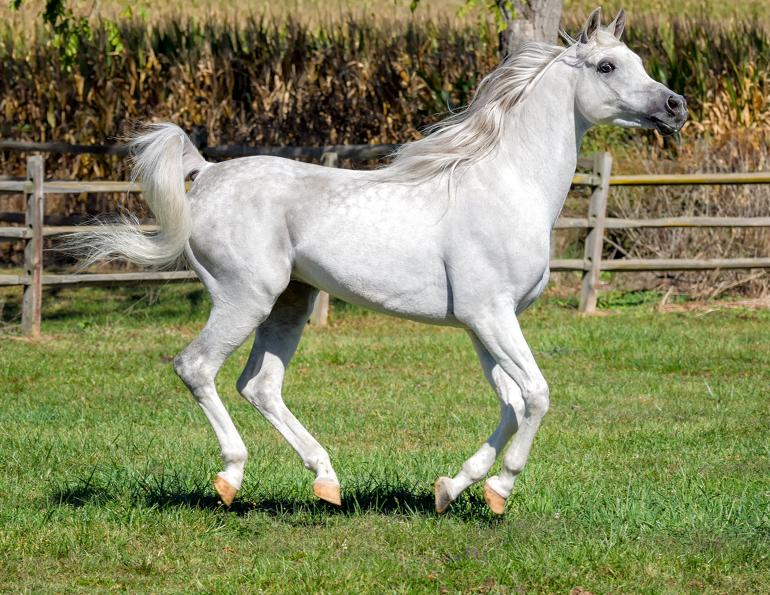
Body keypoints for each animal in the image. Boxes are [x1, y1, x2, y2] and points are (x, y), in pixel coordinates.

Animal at [69, 7, 687, 515]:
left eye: (638, 61)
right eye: (607, 66)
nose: (675, 107)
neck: (506, 186)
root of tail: (206, 173)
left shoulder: (481, 322)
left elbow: (510, 402)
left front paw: (450, 488)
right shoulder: (491, 315)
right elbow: (535, 395)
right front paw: (499, 491)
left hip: (291, 302)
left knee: (260, 385)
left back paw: (326, 482)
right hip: (245, 297)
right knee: (197, 367)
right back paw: (231, 478)